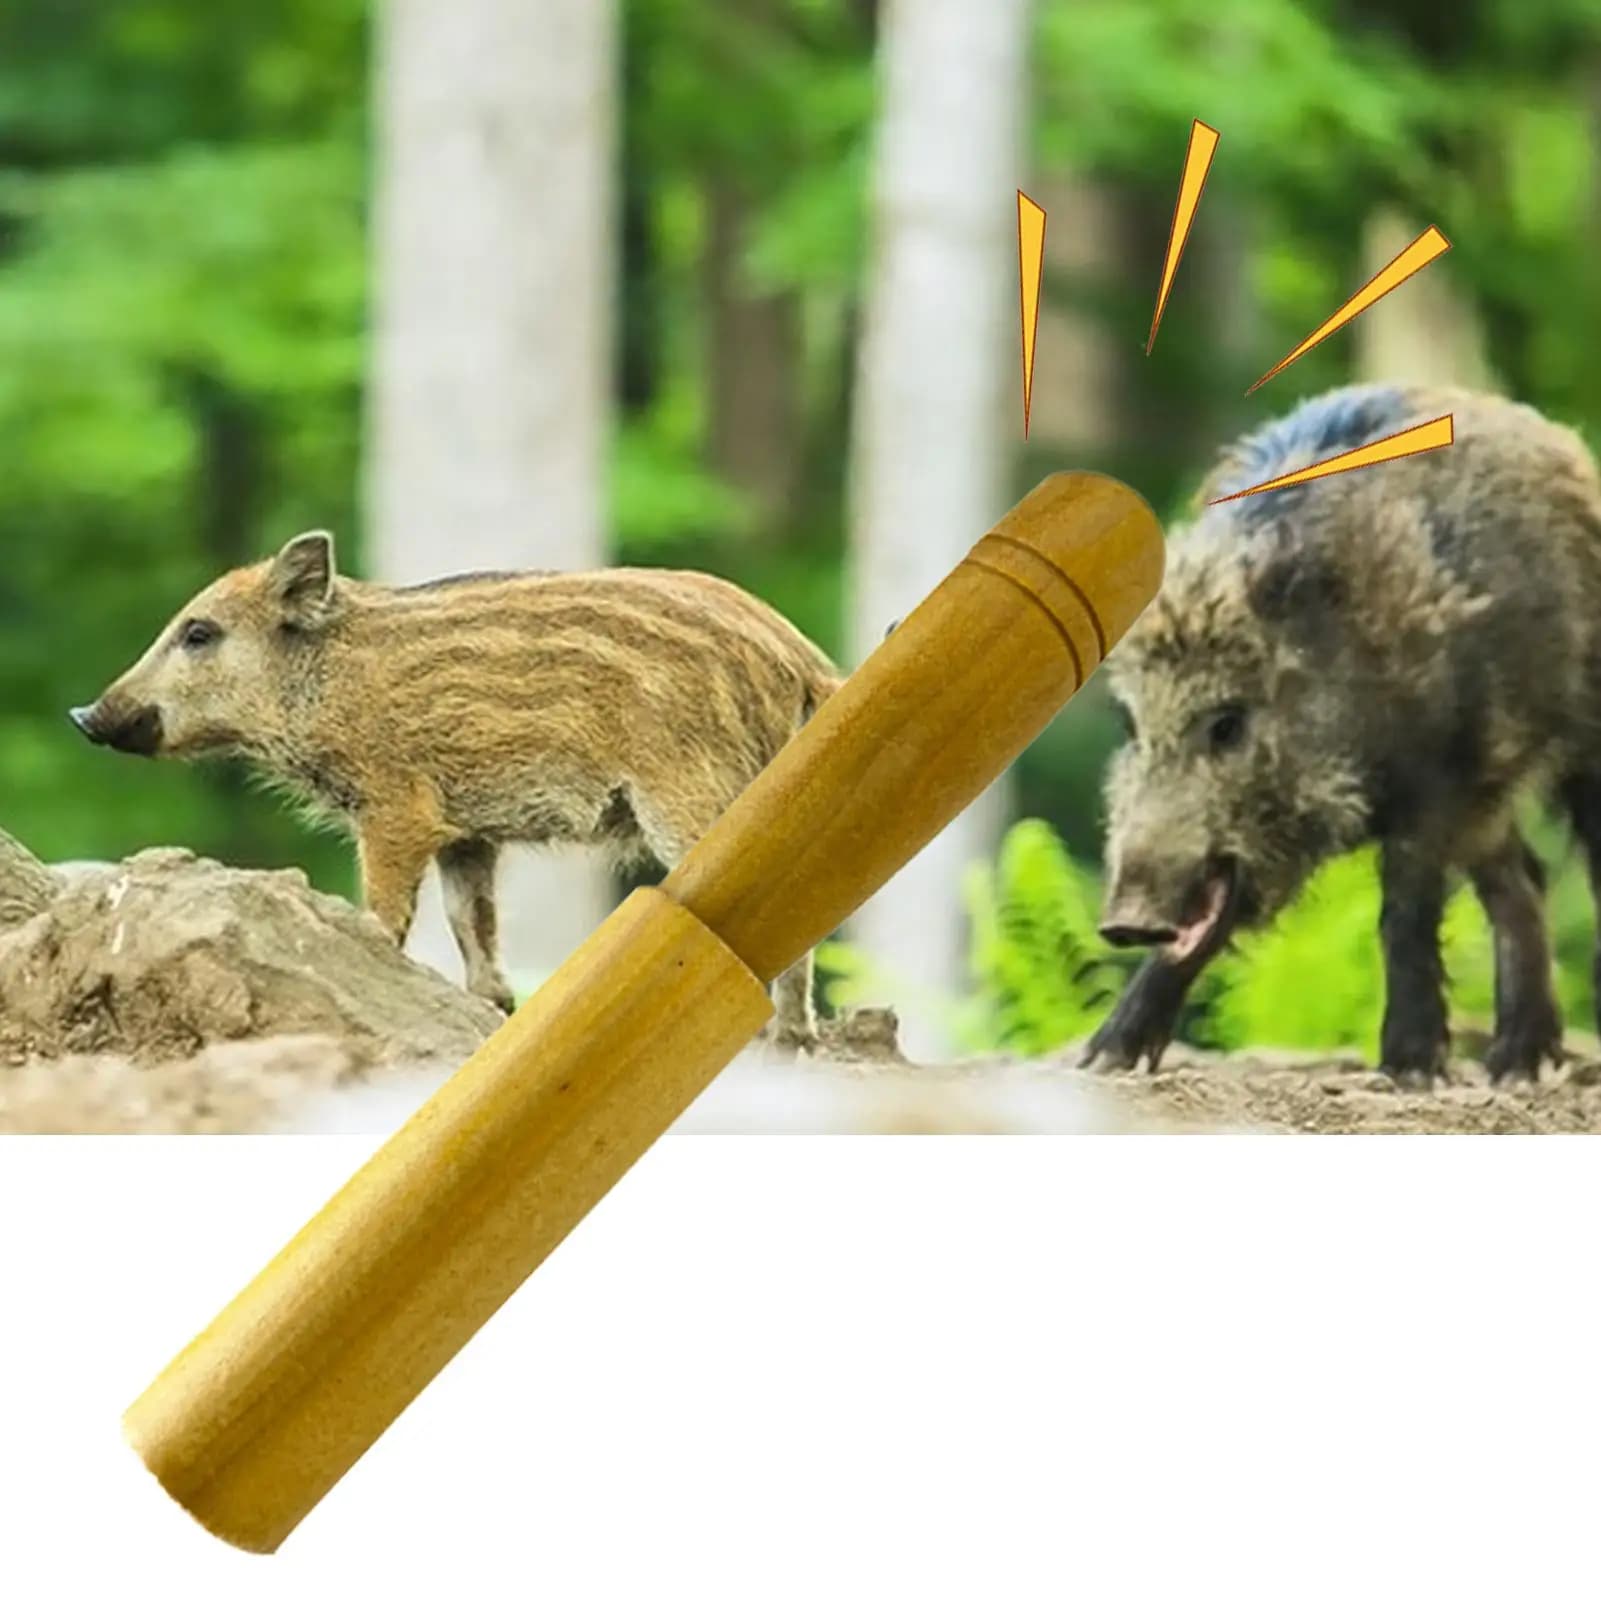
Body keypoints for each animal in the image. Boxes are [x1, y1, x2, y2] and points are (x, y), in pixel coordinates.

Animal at [70, 534, 841, 1043]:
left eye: (199, 633)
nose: (84, 716)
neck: (326, 682)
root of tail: (801, 657)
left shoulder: (394, 807)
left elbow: (386, 915)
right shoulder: (466, 833)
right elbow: (473, 927)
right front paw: (493, 1012)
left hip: (691, 796)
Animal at [1085, 383, 1601, 1087]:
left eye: (1228, 723)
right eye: (1130, 724)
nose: (1124, 922)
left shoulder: (1436, 778)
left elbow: (1404, 913)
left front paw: (1409, 1073)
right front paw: (1101, 1060)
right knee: (1524, 877)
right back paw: (1514, 1068)